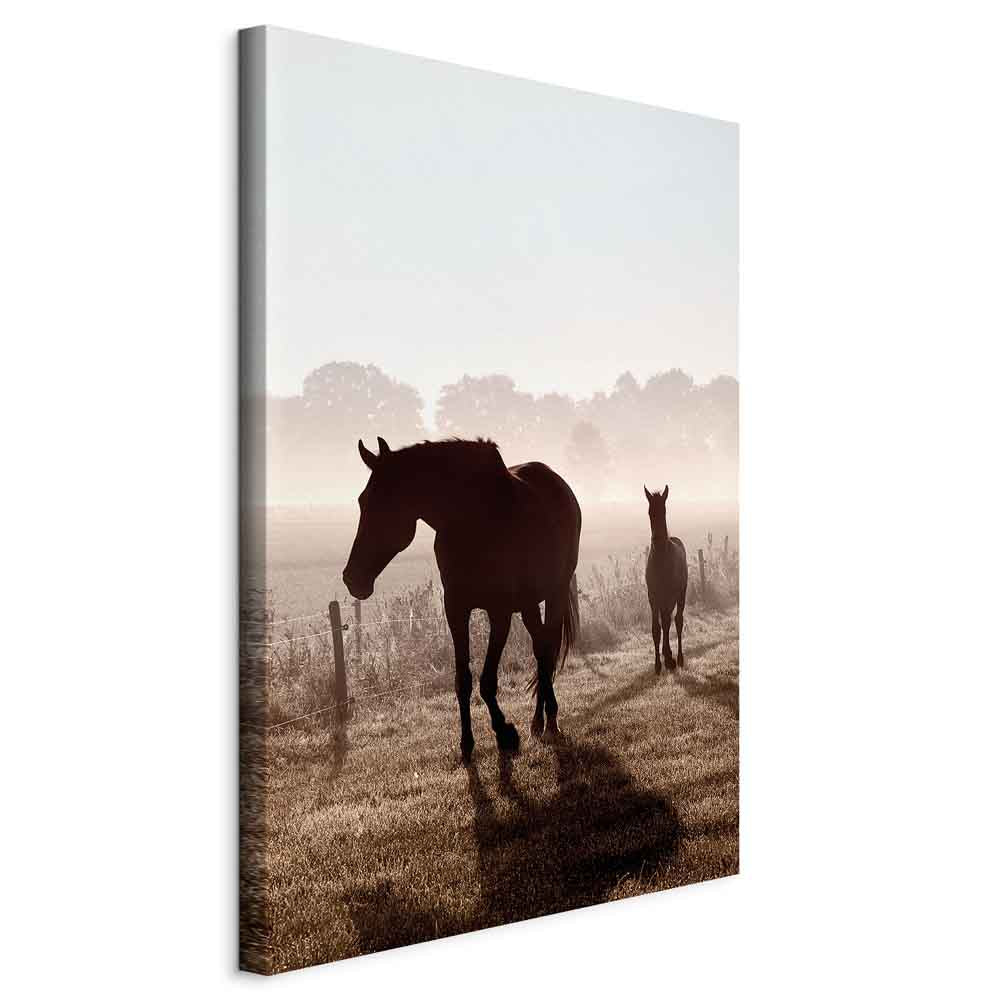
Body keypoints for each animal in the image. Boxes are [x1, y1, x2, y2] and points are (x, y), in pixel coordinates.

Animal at [343, 436, 581, 762]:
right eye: (362, 500)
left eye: (385, 503)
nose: (352, 578)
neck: (471, 519)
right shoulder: (456, 610)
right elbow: (463, 681)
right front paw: (467, 743)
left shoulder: (499, 612)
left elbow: (487, 682)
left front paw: (506, 733)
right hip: (529, 604)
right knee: (540, 647)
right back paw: (538, 721)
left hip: (554, 593)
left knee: (546, 651)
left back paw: (550, 721)